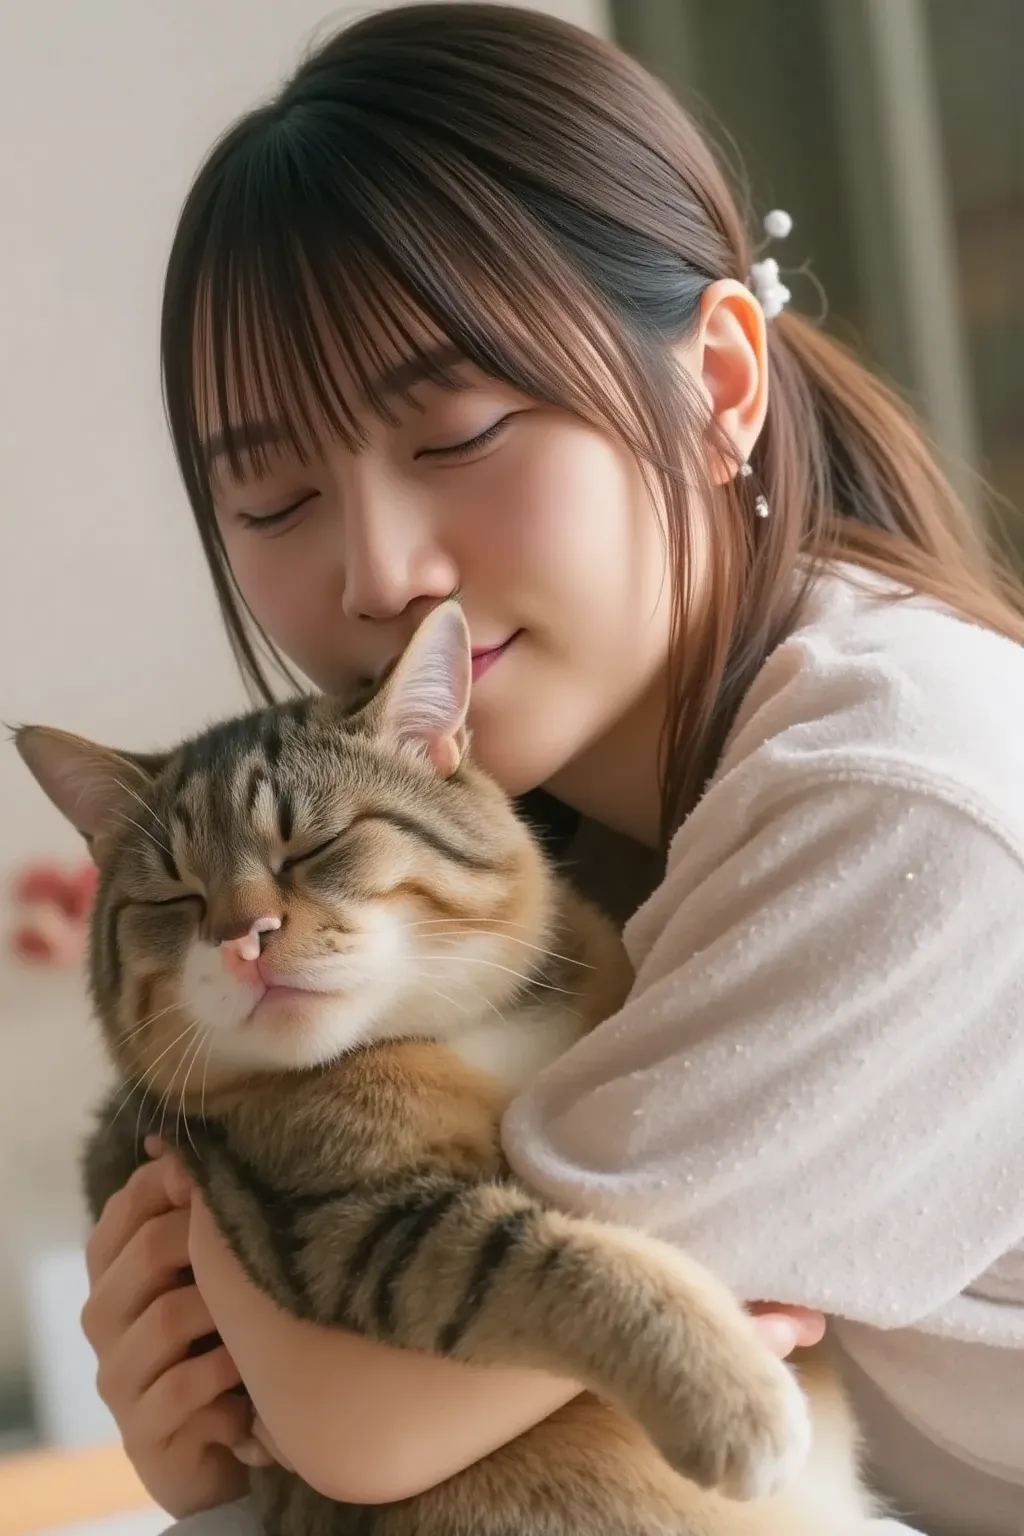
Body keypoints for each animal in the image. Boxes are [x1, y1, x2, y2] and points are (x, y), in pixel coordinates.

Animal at [18, 602, 872, 1536]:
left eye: (312, 847)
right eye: (176, 898)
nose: (243, 939)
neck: (454, 1028)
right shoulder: (356, 1223)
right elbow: (557, 1258)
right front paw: (732, 1399)